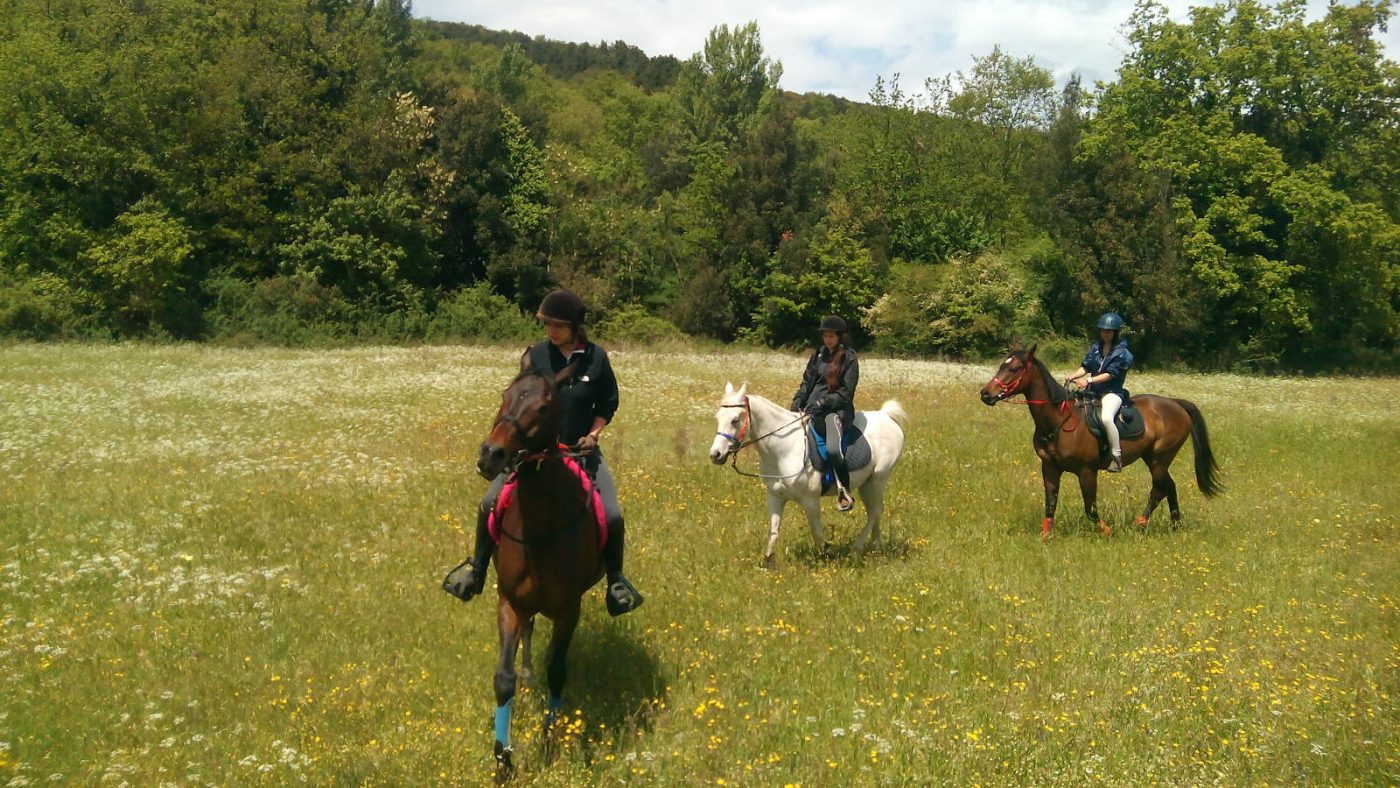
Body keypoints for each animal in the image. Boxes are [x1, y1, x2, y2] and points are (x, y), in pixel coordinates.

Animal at [476, 366, 602, 778]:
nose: (491, 454)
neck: (540, 527)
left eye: (544, 406)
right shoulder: (509, 602)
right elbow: (503, 679)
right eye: (505, 395)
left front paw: (550, 743)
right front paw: (503, 760)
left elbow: (557, 672)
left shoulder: (568, 609)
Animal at [711, 383, 907, 565]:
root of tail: (886, 416)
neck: (785, 448)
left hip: (878, 479)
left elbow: (817, 533)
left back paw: (857, 549)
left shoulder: (810, 500)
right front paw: (768, 562)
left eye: (735, 420)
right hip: (867, 484)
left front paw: (828, 555)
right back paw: (876, 549)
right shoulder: (775, 496)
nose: (715, 455)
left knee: (875, 512)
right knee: (874, 512)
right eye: (718, 418)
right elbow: (773, 531)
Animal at [980, 347, 1220, 540]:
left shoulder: (1087, 471)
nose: (985, 394)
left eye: (1014, 369)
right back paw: (1175, 524)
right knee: (1169, 486)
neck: (1059, 420)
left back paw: (1140, 523)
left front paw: (1108, 532)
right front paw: (1046, 537)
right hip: (1152, 458)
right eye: (1002, 365)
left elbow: (1091, 508)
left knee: (1159, 488)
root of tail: (1176, 404)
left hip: (1159, 458)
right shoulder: (1049, 467)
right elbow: (1050, 505)